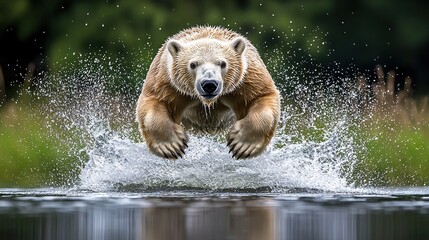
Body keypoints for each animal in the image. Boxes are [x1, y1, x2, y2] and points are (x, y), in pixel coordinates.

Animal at [135, 26, 280, 159]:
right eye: (193, 64)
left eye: (223, 63)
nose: (209, 84)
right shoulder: (168, 81)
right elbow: (155, 100)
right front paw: (172, 146)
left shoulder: (245, 79)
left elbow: (262, 96)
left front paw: (242, 145)